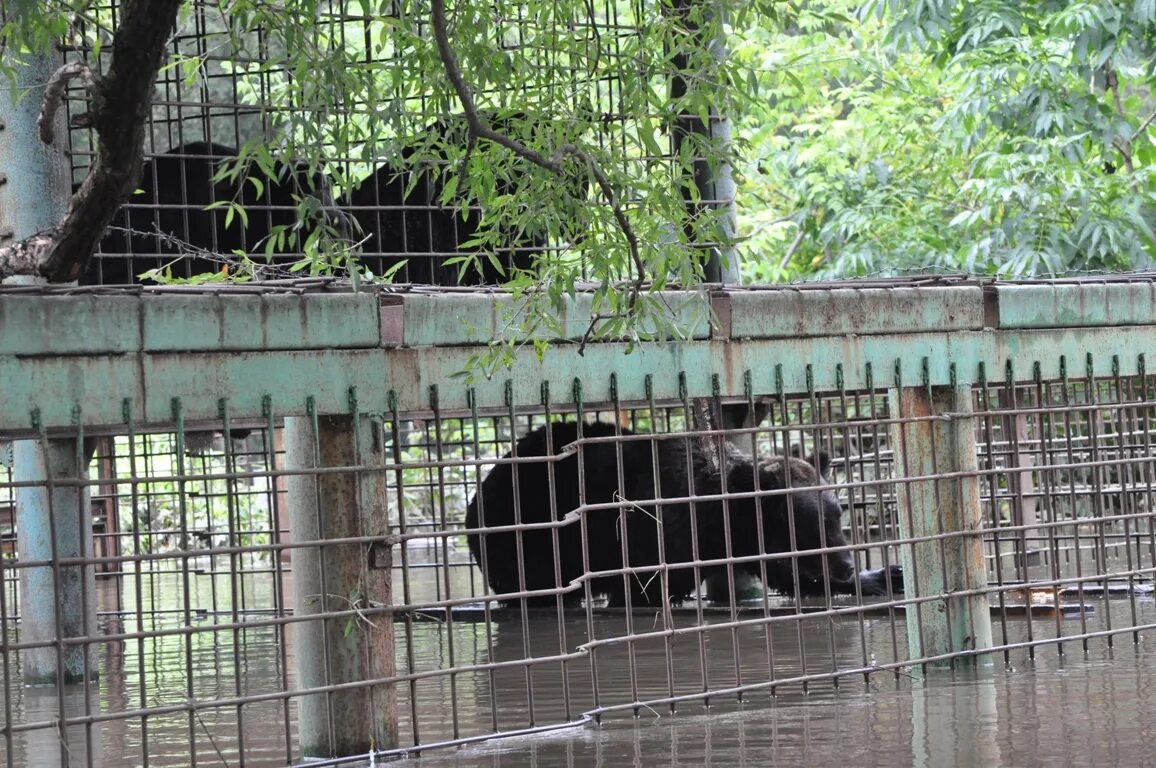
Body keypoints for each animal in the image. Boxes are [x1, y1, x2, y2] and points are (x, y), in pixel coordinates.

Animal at [464, 421, 897, 606]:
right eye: (811, 523)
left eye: (837, 515)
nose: (845, 564)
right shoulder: (657, 532)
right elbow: (643, 588)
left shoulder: (741, 544)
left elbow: (789, 576)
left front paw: (881, 575)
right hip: (523, 535)